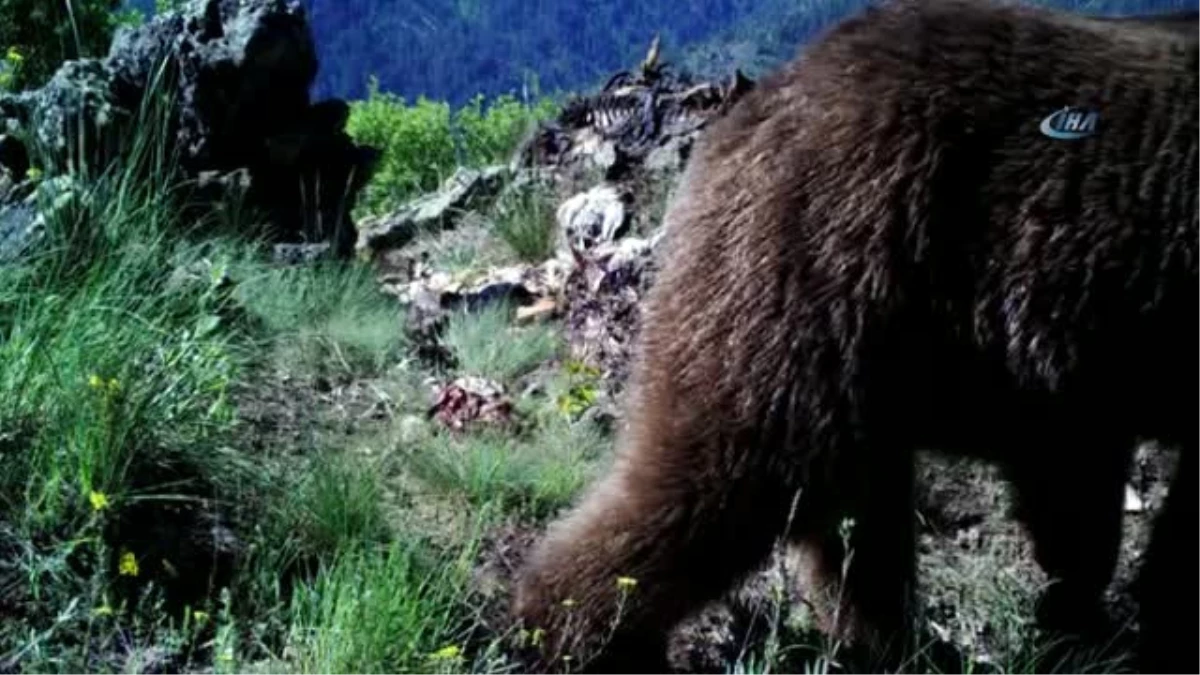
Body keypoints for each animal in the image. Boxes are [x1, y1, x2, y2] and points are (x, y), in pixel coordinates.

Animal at [513, 2, 1200, 667]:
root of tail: (747, 114)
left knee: (853, 515)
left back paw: (905, 646)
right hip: (819, 270)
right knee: (734, 471)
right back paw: (573, 634)